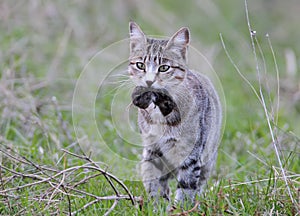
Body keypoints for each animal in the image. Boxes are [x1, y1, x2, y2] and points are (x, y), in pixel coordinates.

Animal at [127, 21, 221, 208]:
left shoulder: (191, 154)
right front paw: (156, 206)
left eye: (164, 68)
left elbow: (187, 186)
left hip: (207, 159)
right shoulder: (152, 150)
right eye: (140, 65)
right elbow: (154, 181)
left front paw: (180, 208)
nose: (149, 81)